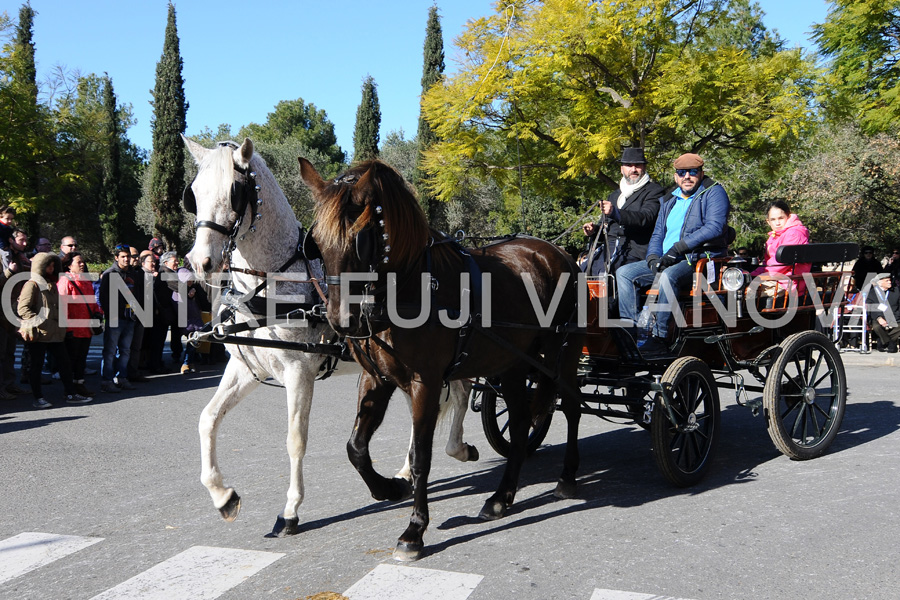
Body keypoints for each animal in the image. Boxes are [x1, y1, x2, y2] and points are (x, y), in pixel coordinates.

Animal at [182, 138, 478, 536]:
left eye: (234, 191)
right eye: (194, 193)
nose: (200, 262)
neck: (275, 282)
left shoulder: (299, 374)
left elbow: (295, 440)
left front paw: (290, 510)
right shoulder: (247, 369)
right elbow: (208, 419)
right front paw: (222, 495)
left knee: (459, 393)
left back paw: (454, 448)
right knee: (438, 405)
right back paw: (416, 465)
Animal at [298, 157, 588, 560]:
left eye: (362, 239)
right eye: (317, 245)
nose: (343, 321)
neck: (410, 287)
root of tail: (558, 254)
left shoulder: (427, 381)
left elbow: (422, 456)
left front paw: (414, 530)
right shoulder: (376, 378)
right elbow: (356, 447)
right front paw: (388, 488)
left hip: (562, 354)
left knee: (572, 405)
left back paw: (566, 477)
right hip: (513, 365)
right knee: (518, 423)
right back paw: (501, 498)